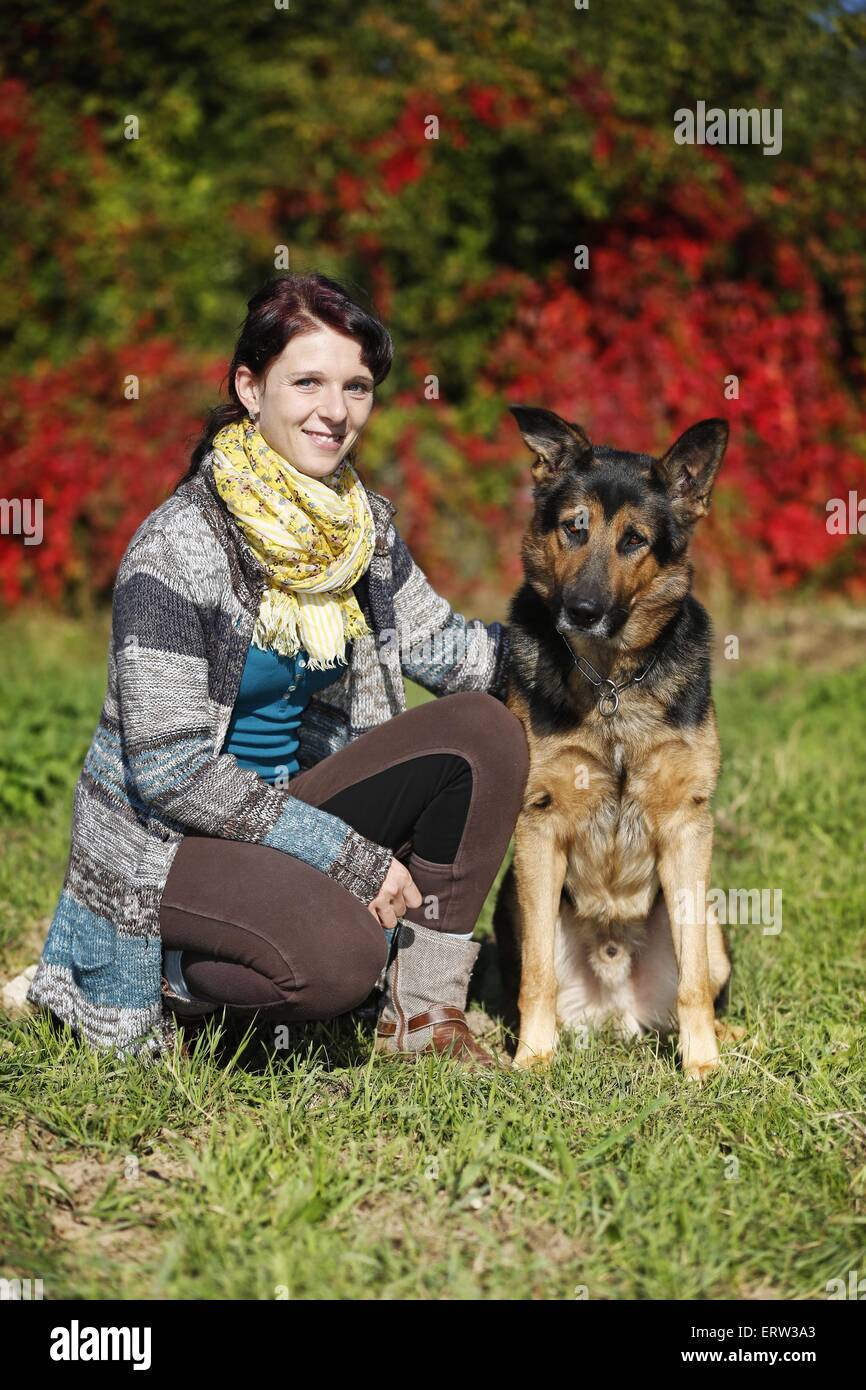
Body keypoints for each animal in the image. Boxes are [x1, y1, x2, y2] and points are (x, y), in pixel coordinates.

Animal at [494, 405, 733, 1078]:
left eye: (635, 541)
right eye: (574, 530)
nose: (581, 610)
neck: (609, 681)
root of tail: (615, 1017)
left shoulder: (686, 827)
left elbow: (693, 983)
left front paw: (702, 1067)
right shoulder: (539, 825)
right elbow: (538, 977)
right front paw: (532, 1058)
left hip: (712, 923)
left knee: (701, 977)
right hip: (512, 905)